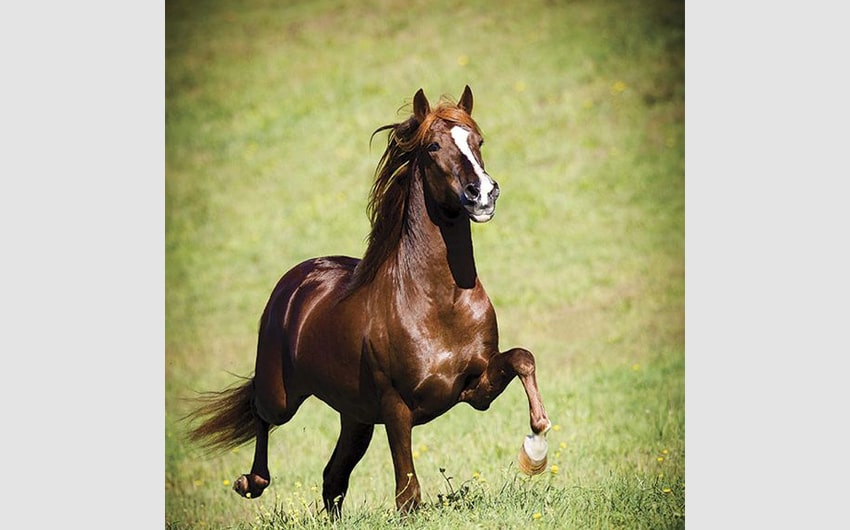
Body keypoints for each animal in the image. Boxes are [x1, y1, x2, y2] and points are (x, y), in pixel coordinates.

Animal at [187, 85, 548, 512]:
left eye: (478, 141)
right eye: (433, 145)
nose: (483, 194)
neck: (440, 305)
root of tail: (293, 283)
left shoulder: (475, 390)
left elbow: (522, 358)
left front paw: (536, 445)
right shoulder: (396, 407)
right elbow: (408, 495)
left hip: (356, 418)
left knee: (332, 478)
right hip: (283, 395)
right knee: (263, 415)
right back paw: (250, 482)